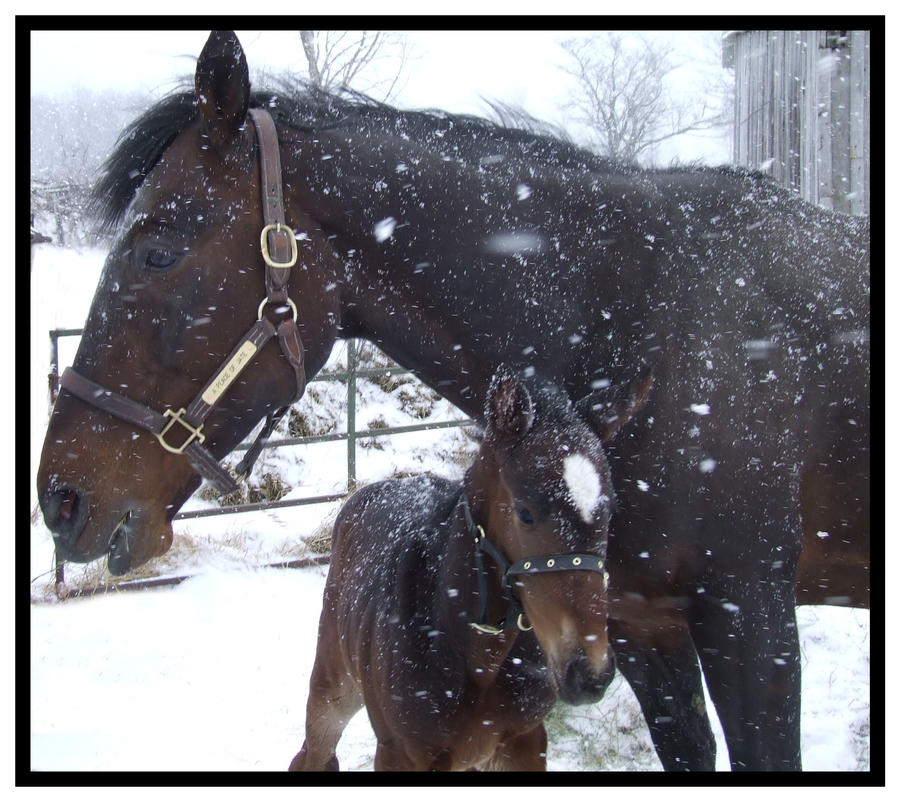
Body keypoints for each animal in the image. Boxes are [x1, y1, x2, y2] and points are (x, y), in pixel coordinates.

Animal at [292, 368, 652, 768]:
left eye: (610, 508)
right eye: (525, 512)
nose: (590, 674)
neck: (477, 656)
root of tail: (366, 493)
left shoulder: (524, 741)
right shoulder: (401, 753)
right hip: (332, 688)